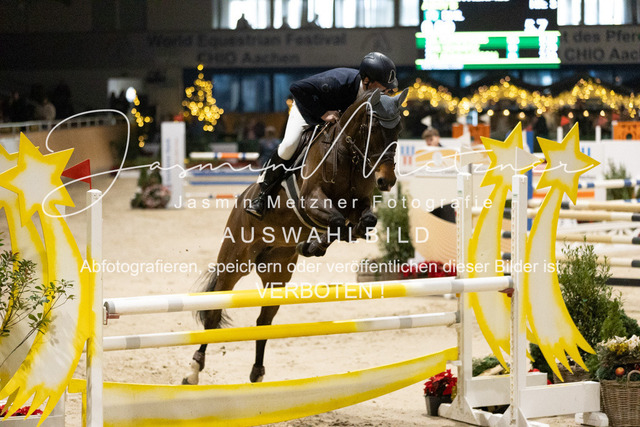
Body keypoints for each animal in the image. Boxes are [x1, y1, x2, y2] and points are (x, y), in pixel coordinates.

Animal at [183, 88, 408, 385]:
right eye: (371, 130)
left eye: (398, 131)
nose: (386, 181)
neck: (347, 155)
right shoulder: (311, 201)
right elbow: (337, 220)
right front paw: (317, 244)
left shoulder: (360, 204)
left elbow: (363, 221)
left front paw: (318, 243)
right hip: (234, 261)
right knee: (214, 313)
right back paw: (193, 370)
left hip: (277, 274)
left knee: (263, 322)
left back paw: (257, 372)